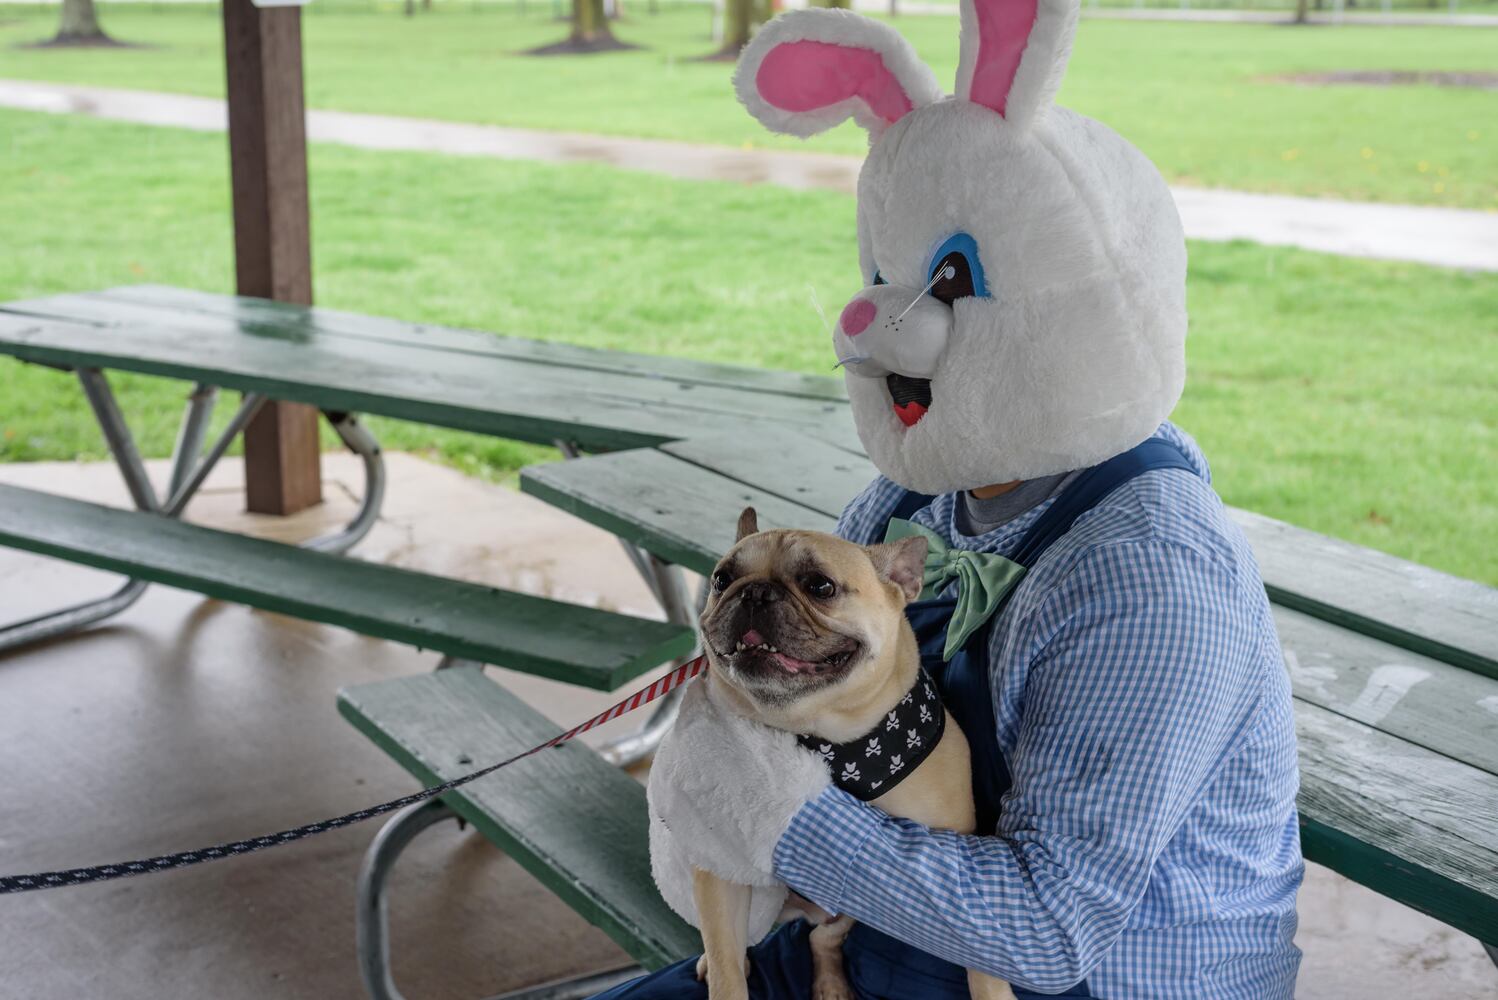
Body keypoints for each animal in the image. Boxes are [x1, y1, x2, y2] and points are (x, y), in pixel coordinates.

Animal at [689, 507, 1014, 1000]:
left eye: (820, 586)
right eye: (721, 578)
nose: (754, 591)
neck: (820, 737)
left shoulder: (967, 893)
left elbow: (985, 959)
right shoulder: (718, 869)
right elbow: (726, 961)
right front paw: (724, 968)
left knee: (824, 937)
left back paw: (830, 983)